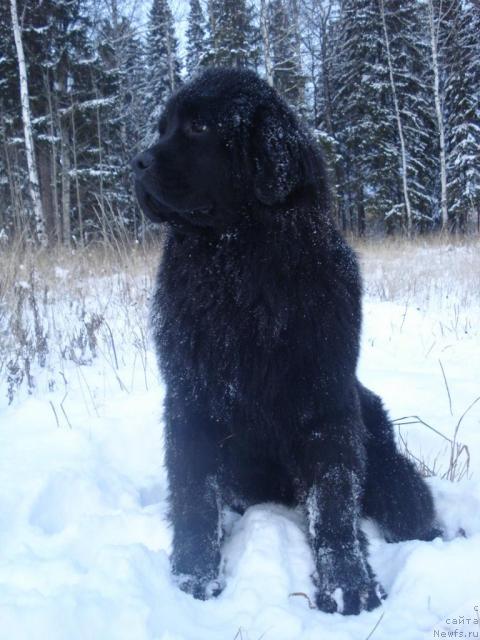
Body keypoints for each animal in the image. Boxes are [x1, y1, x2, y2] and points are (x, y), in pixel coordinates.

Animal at [132, 69, 438, 616]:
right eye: (162, 128)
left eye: (200, 126)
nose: (137, 163)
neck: (241, 271)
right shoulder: (190, 398)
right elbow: (193, 494)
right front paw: (193, 576)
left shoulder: (324, 401)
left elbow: (333, 503)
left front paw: (348, 584)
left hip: (392, 471)